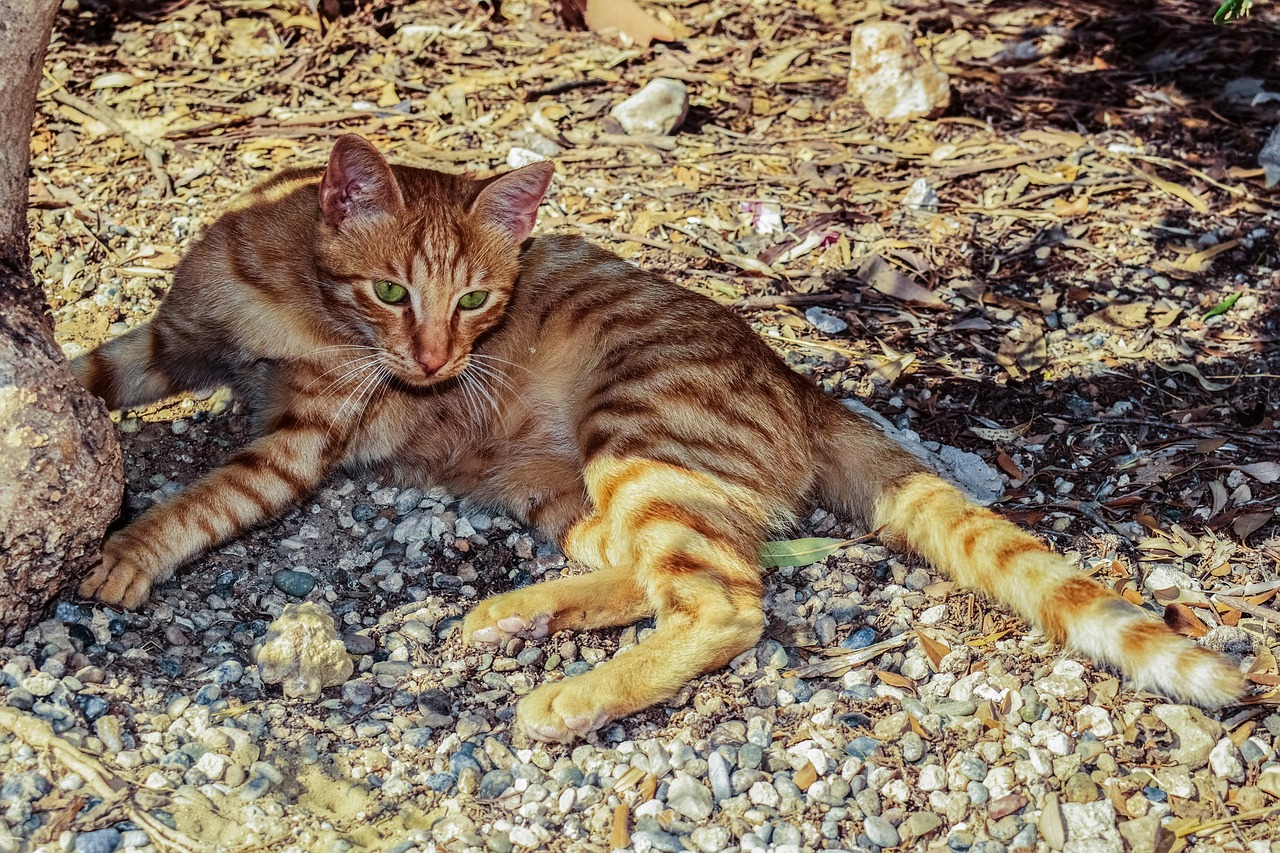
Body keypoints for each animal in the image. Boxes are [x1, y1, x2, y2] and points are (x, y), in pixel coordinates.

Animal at [72, 131, 1239, 737]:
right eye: (392, 290)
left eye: (478, 301)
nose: (438, 364)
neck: (293, 302)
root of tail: (799, 381)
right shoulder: (167, 344)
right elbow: (90, 376)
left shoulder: (296, 444)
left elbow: (202, 498)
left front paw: (126, 548)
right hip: (574, 493)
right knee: (666, 571)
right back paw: (517, 615)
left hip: (637, 442)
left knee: (725, 601)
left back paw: (564, 696)